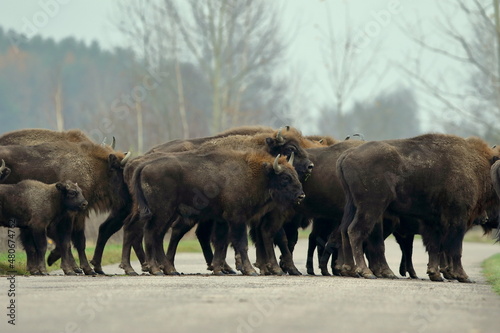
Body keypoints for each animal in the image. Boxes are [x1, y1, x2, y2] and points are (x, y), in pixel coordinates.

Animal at [0, 130, 131, 274]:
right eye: (119, 169)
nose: (128, 195)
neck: (89, 166)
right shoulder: (72, 214)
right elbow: (70, 240)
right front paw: (78, 268)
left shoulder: (79, 213)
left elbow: (74, 240)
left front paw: (79, 268)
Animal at [336, 134, 500, 282]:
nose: (486, 218)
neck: (476, 163)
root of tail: (347, 155)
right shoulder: (458, 219)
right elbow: (454, 249)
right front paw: (463, 276)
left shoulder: (433, 221)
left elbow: (434, 246)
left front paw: (435, 274)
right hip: (371, 207)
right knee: (355, 231)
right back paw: (365, 272)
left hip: (352, 206)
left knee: (344, 230)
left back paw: (350, 269)